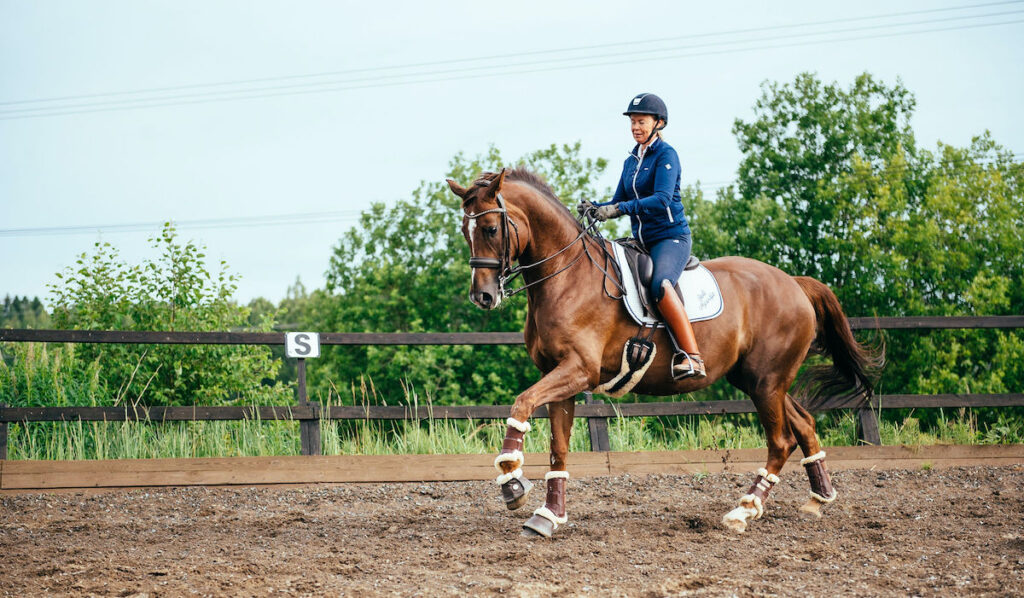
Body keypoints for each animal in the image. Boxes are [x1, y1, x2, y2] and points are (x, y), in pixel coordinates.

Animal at [444, 167, 876, 536]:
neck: (566, 276)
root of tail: (793, 283)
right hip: (758, 379)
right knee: (803, 424)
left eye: (490, 227)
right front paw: (548, 516)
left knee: (781, 440)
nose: (483, 296)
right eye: (466, 231)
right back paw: (819, 498)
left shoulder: (578, 370)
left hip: (766, 381)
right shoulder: (560, 376)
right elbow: (558, 448)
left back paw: (744, 510)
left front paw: (512, 482)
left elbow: (521, 404)